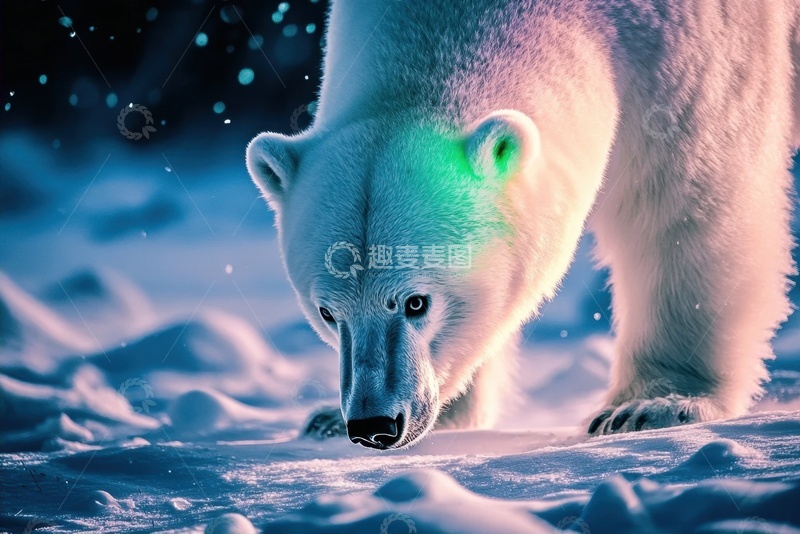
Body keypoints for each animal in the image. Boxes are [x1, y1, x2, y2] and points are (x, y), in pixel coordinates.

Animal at [246, 0, 798, 449]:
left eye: (417, 302)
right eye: (326, 313)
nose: (372, 425)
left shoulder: (695, 52)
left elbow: (687, 204)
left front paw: (650, 406)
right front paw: (326, 420)